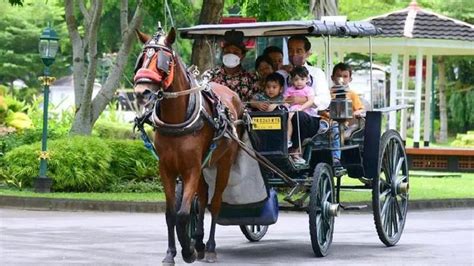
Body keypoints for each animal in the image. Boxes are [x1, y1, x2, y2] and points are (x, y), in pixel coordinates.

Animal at [133, 26, 244, 264]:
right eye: (141, 59)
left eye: (164, 61)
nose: (141, 93)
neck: (177, 120)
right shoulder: (166, 168)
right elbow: (171, 213)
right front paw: (171, 253)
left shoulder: (191, 168)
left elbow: (183, 214)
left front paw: (187, 251)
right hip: (204, 165)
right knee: (202, 199)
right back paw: (199, 242)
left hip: (224, 162)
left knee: (216, 201)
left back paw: (209, 247)